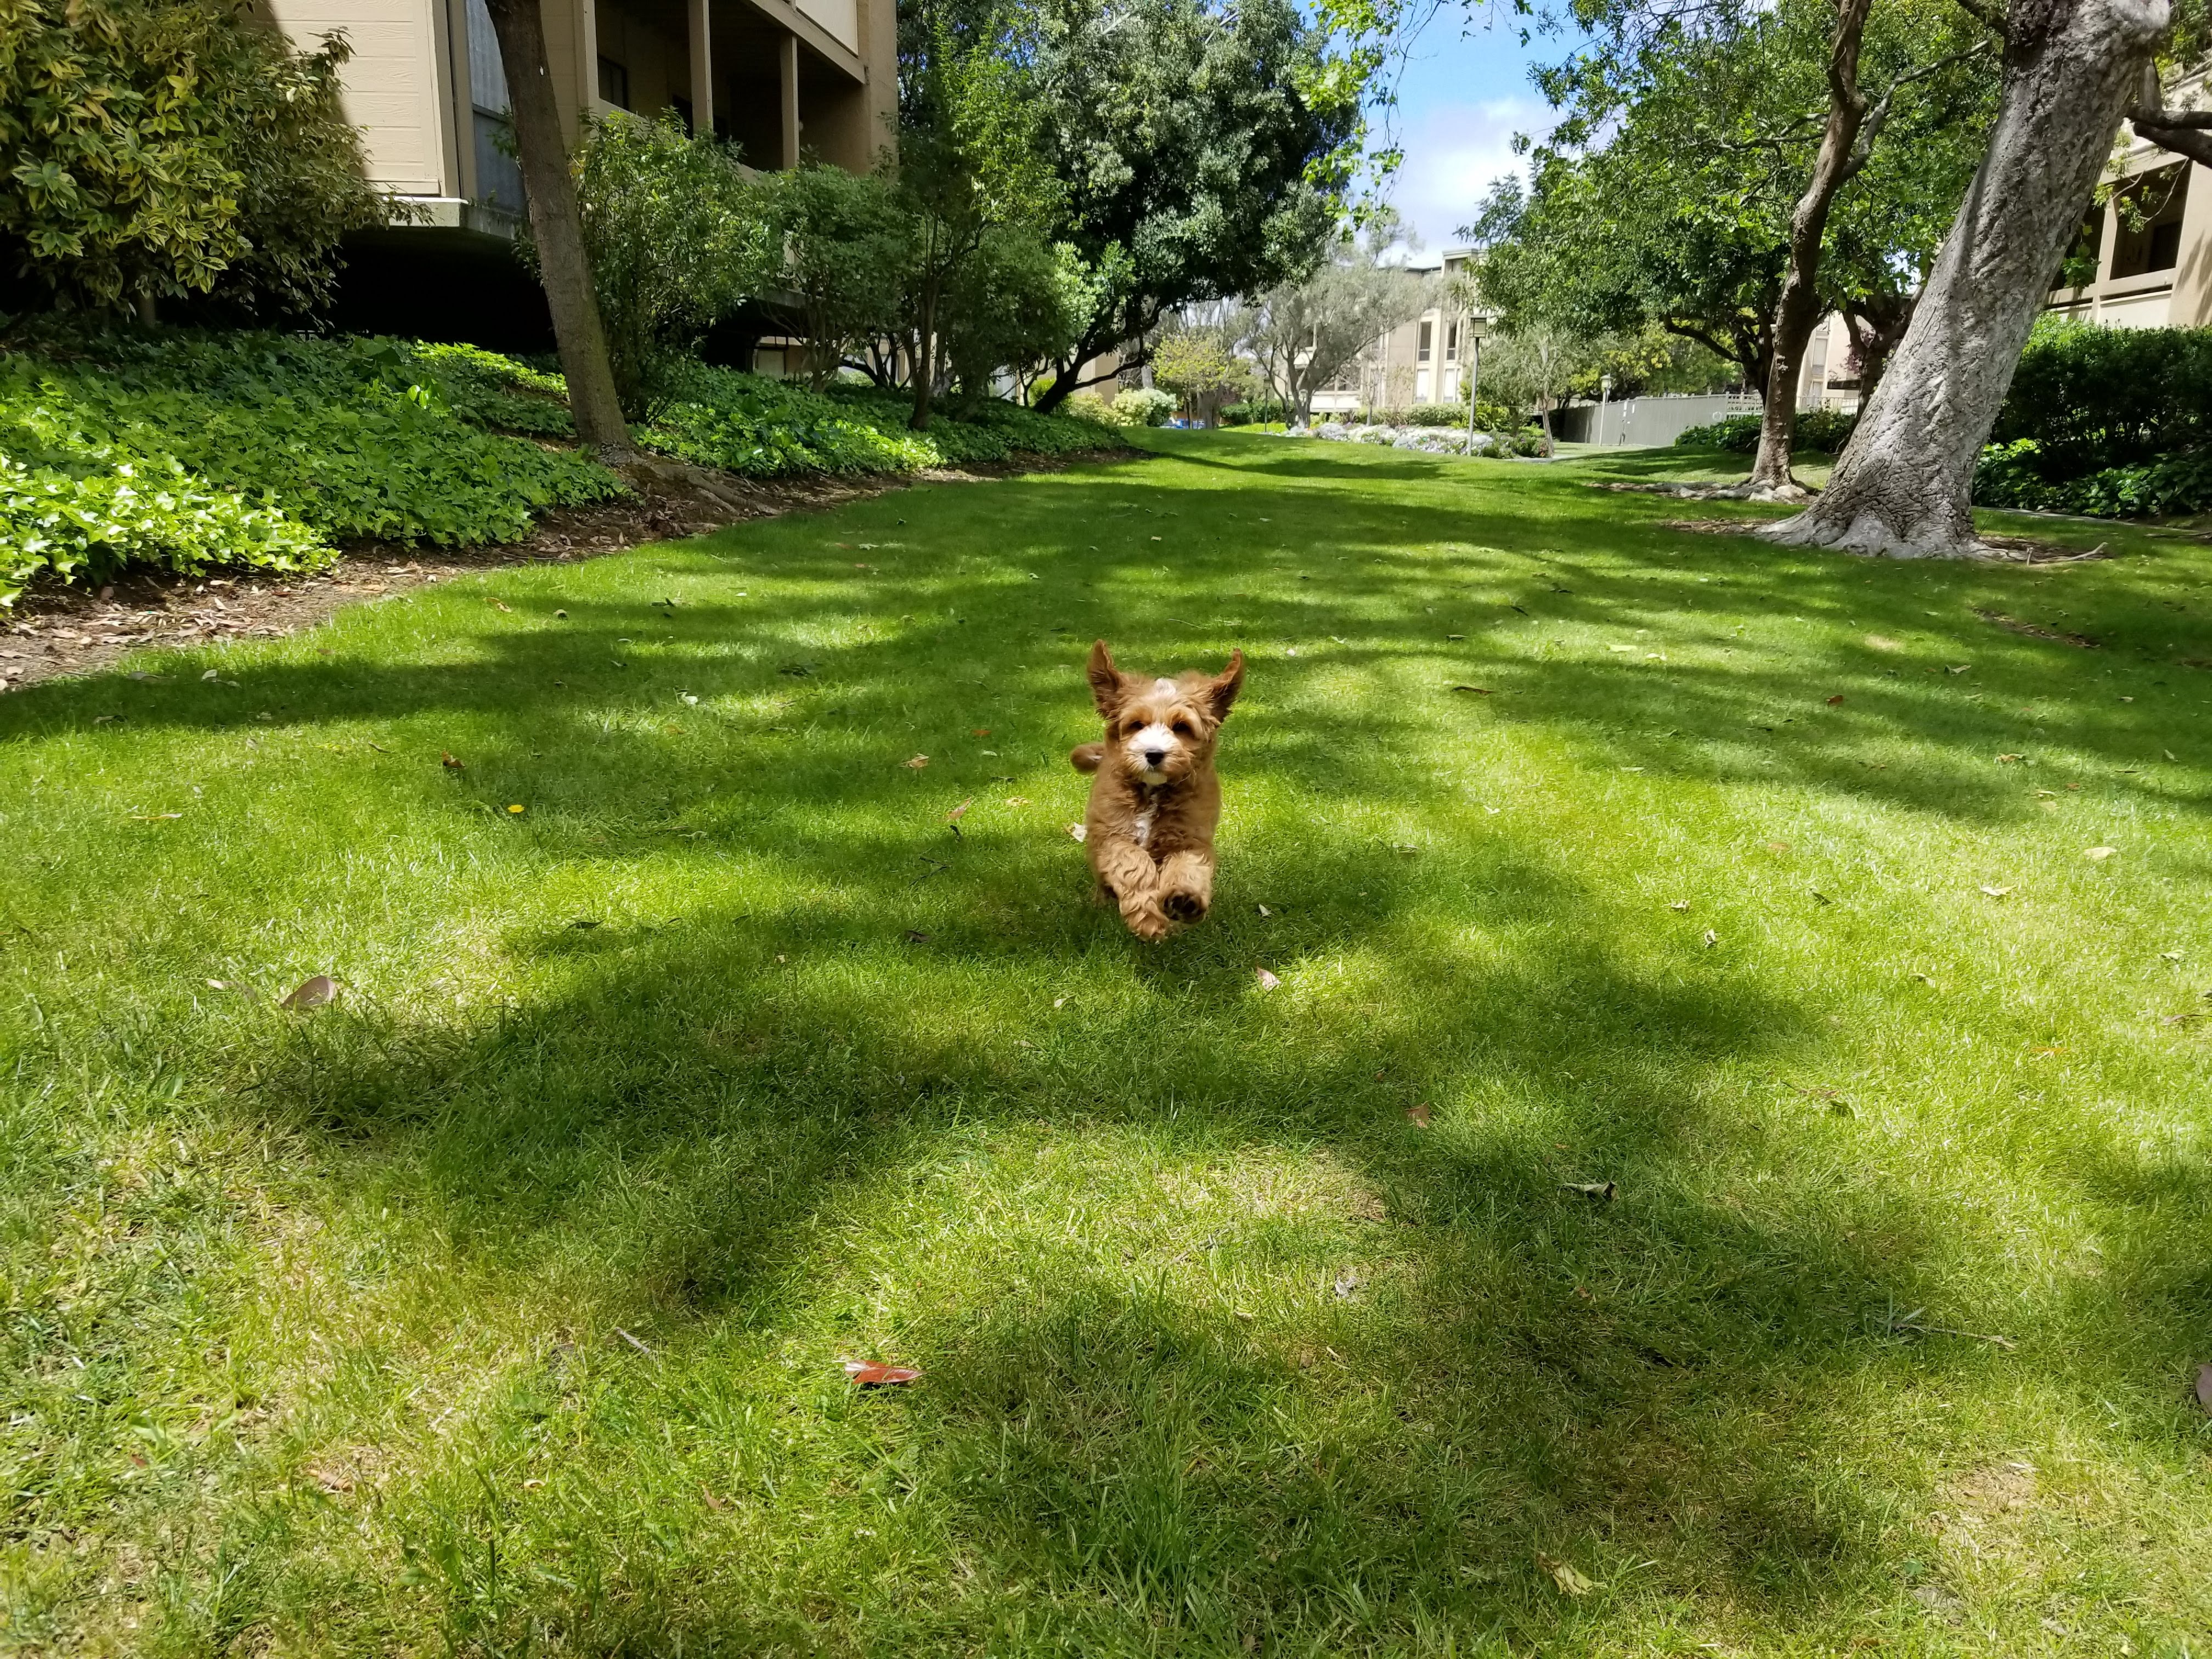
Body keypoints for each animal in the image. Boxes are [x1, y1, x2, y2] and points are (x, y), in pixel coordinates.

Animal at [1070, 641, 1248, 942]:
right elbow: (1134, 864)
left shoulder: (1190, 838)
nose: (1154, 754)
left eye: (1182, 727)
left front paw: (1184, 899)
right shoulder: (1112, 836)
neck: (1152, 791)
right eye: (1137, 725)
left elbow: (1188, 867)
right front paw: (1149, 918)